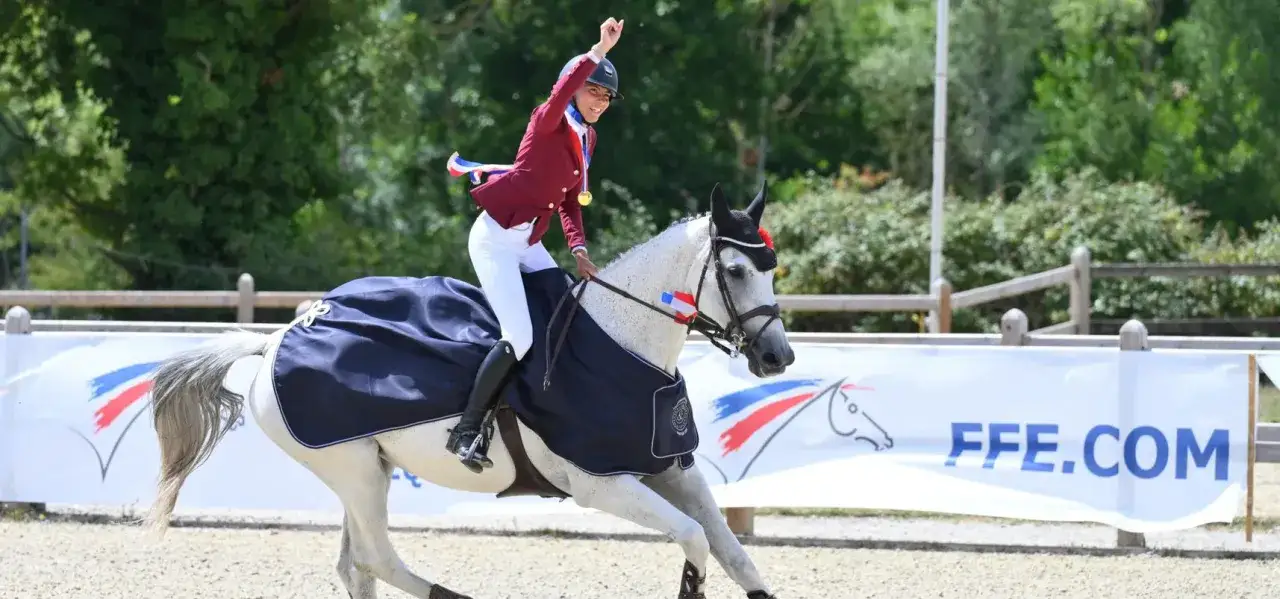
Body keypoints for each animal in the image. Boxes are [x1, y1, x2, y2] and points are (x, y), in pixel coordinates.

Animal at [141, 183, 795, 599]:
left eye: (772, 268)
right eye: (735, 271)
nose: (777, 357)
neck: (623, 341)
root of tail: (278, 338)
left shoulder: (669, 468)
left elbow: (732, 550)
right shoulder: (600, 484)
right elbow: (694, 539)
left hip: (366, 471)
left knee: (356, 567)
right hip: (353, 470)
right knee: (376, 558)